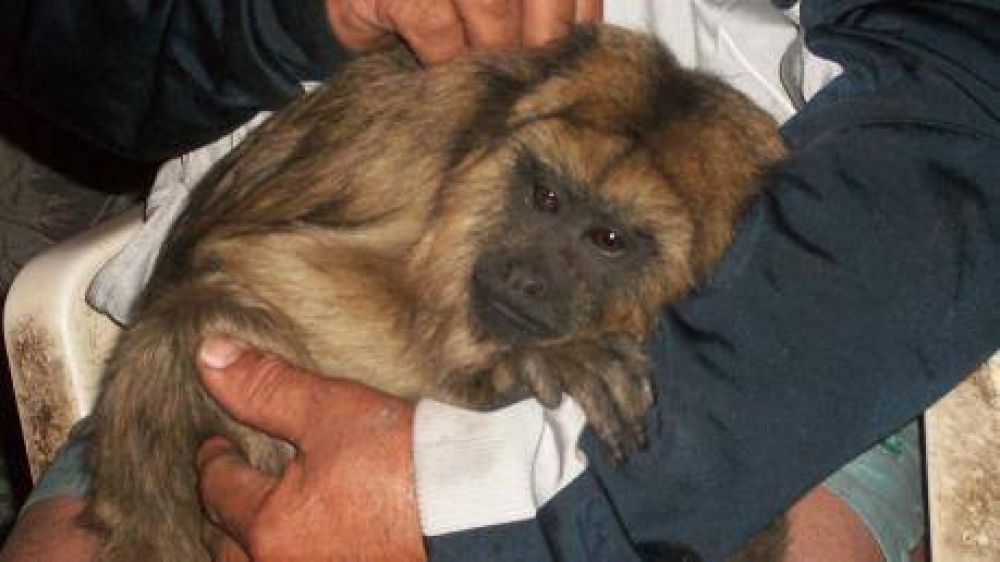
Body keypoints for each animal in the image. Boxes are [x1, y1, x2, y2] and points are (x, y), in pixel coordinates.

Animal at [79, 25, 785, 562]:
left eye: (608, 239)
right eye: (546, 198)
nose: (524, 276)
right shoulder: (427, 131)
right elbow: (257, 259)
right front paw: (522, 369)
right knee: (196, 315)